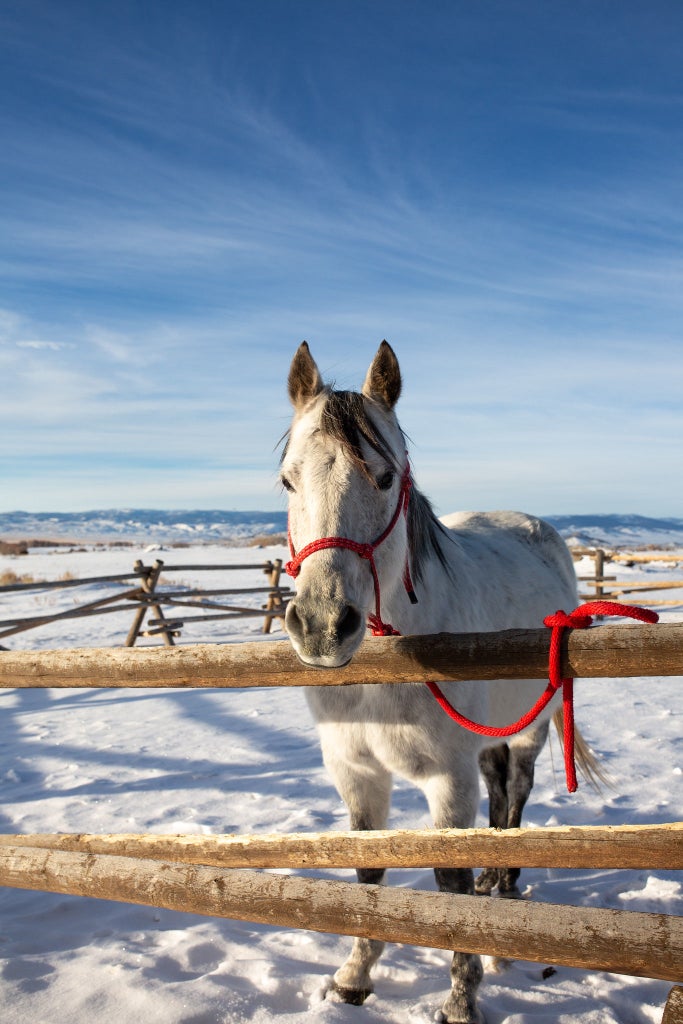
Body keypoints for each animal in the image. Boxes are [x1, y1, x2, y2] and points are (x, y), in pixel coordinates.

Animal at [278, 342, 593, 1024]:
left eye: (385, 477)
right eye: (288, 480)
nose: (321, 626)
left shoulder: (447, 780)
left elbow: (450, 882)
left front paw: (461, 1000)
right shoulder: (355, 772)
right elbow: (368, 873)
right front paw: (354, 977)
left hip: (529, 728)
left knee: (515, 798)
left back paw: (503, 892)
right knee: (499, 790)